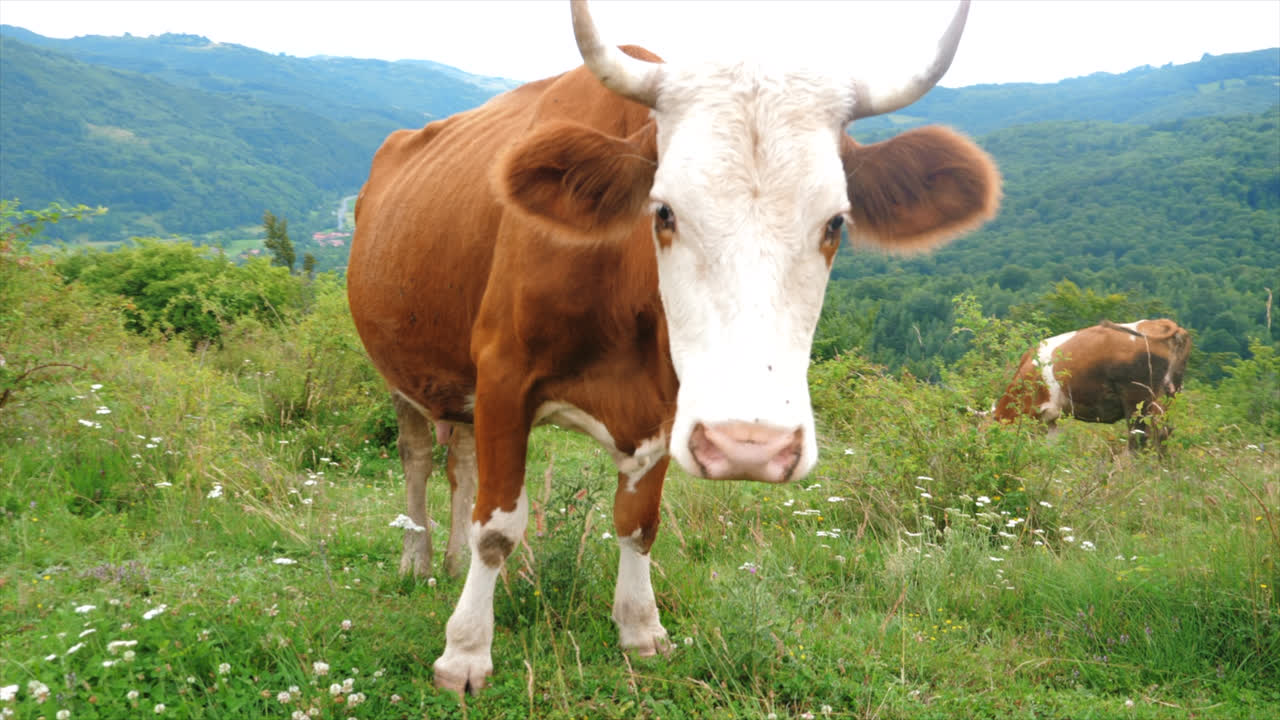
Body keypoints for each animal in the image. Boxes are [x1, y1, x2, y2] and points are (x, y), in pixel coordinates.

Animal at [347, 0, 1000, 694]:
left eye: (835, 223)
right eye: (663, 211)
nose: (751, 446)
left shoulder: (666, 403)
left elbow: (638, 521)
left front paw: (640, 628)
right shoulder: (503, 375)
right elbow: (496, 526)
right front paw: (466, 651)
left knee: (460, 461)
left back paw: (447, 560)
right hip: (401, 372)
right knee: (419, 458)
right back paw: (418, 559)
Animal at [993, 319, 1192, 451]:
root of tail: (1160, 323)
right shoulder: (1053, 418)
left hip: (1138, 401)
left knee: (1139, 438)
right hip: (1167, 398)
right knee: (1163, 434)